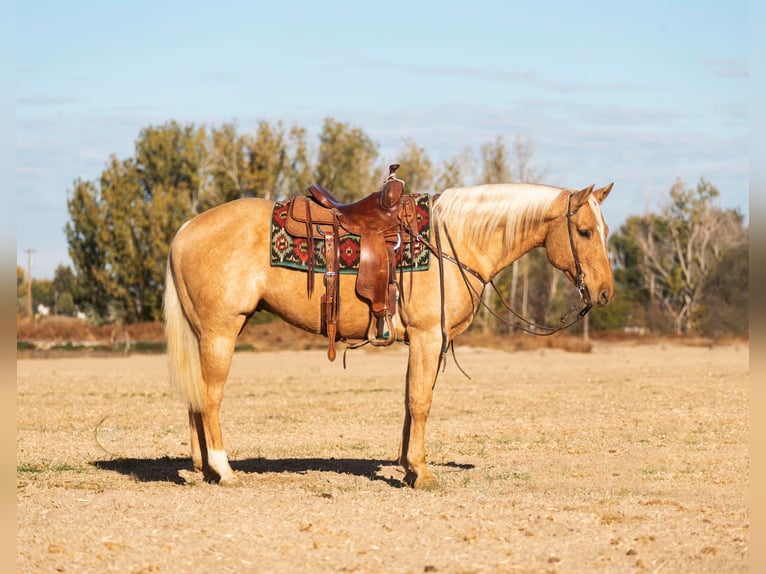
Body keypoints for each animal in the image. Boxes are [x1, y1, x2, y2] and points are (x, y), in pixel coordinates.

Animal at [165, 182, 616, 488]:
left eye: (606, 230)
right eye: (585, 231)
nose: (604, 293)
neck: (454, 242)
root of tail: (186, 228)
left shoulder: (423, 343)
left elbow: (408, 401)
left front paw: (406, 465)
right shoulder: (428, 338)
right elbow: (420, 402)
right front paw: (422, 473)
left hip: (206, 334)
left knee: (195, 400)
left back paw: (201, 469)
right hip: (221, 332)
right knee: (210, 397)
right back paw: (224, 470)